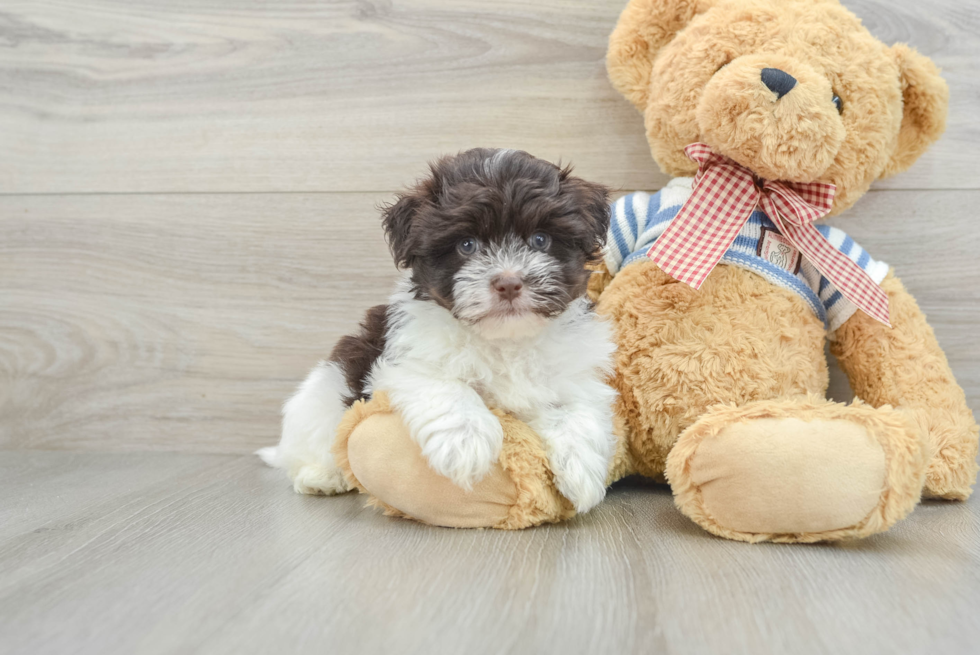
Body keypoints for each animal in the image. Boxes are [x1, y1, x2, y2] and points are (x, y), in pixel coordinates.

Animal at [256, 149, 616, 512]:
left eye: (540, 240)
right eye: (467, 245)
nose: (509, 283)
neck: (504, 339)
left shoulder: (574, 375)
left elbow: (574, 411)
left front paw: (582, 469)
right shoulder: (402, 362)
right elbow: (447, 386)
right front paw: (467, 442)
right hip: (322, 397)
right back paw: (321, 476)